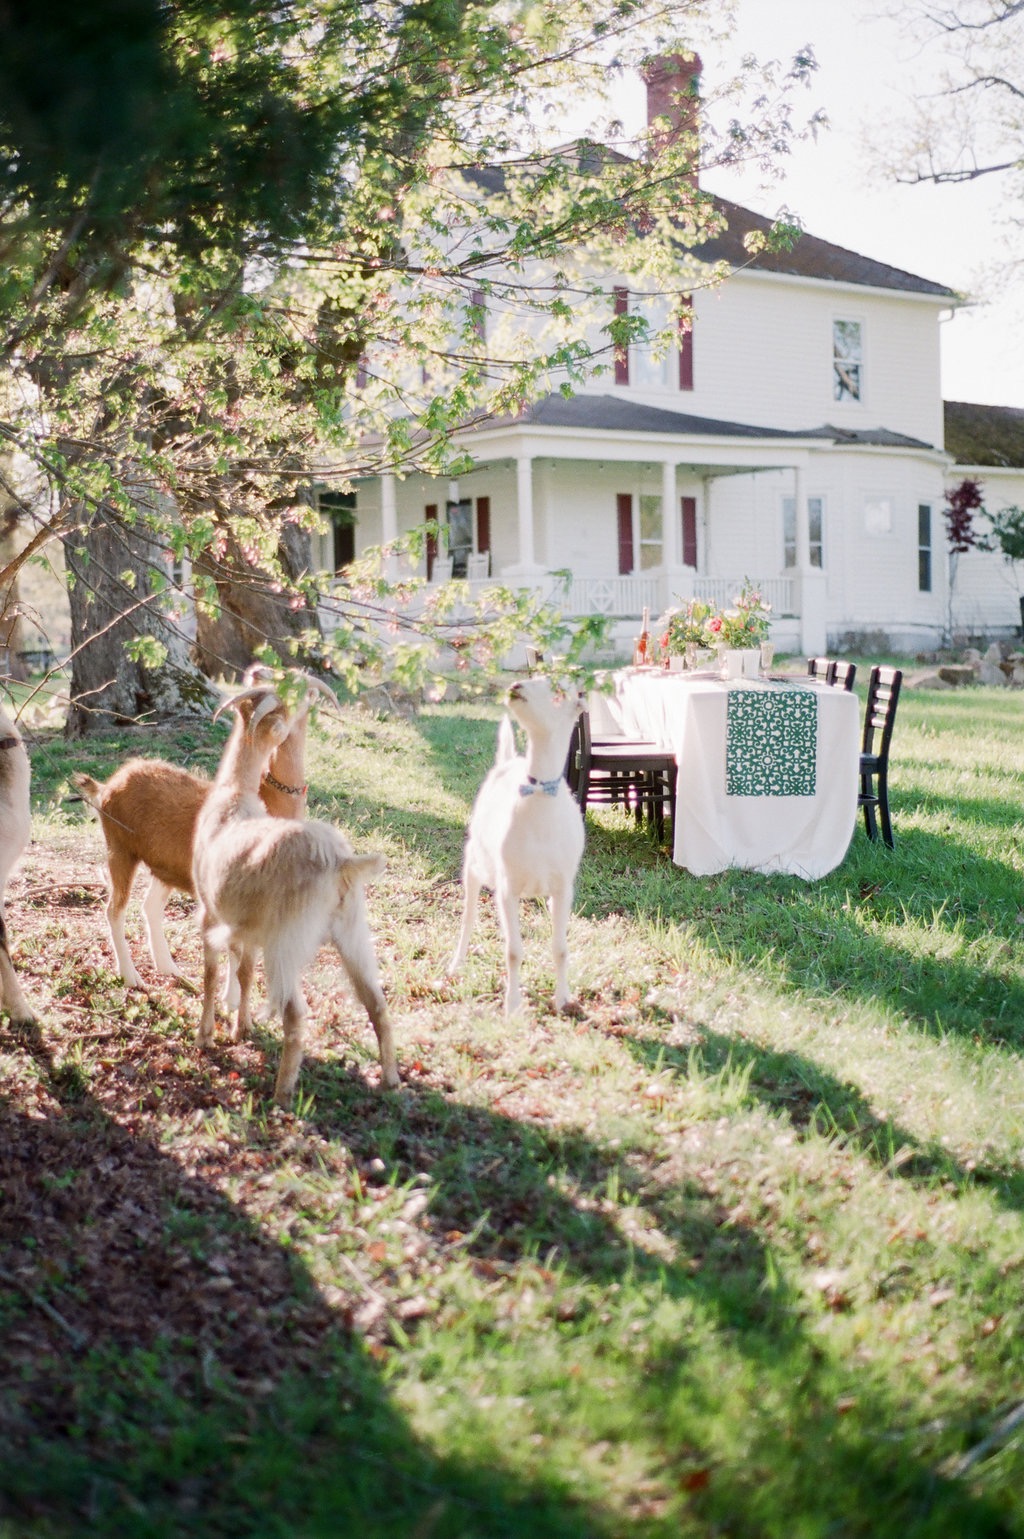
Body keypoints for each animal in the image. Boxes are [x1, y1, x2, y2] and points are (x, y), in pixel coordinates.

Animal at [73, 664, 329, 984]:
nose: (258, 671)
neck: (267, 797)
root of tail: (107, 787)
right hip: (120, 850)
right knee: (115, 910)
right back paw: (132, 977)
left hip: (164, 867)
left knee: (150, 907)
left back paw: (170, 969)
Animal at [191, 689, 400, 1108]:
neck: (234, 796)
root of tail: (339, 862)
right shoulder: (249, 931)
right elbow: (243, 972)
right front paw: (241, 1028)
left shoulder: (210, 913)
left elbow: (210, 974)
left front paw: (205, 1035)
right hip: (352, 931)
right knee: (377, 1004)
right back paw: (390, 1079)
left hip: (286, 941)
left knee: (295, 1014)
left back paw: (282, 1096)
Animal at [446, 680, 582, 1015]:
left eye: (560, 690)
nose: (516, 685)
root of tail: (508, 761)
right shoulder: (507, 887)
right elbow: (513, 950)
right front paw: (512, 1005)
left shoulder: (563, 887)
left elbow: (560, 947)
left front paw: (563, 999)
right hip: (474, 864)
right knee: (467, 918)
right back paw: (456, 965)